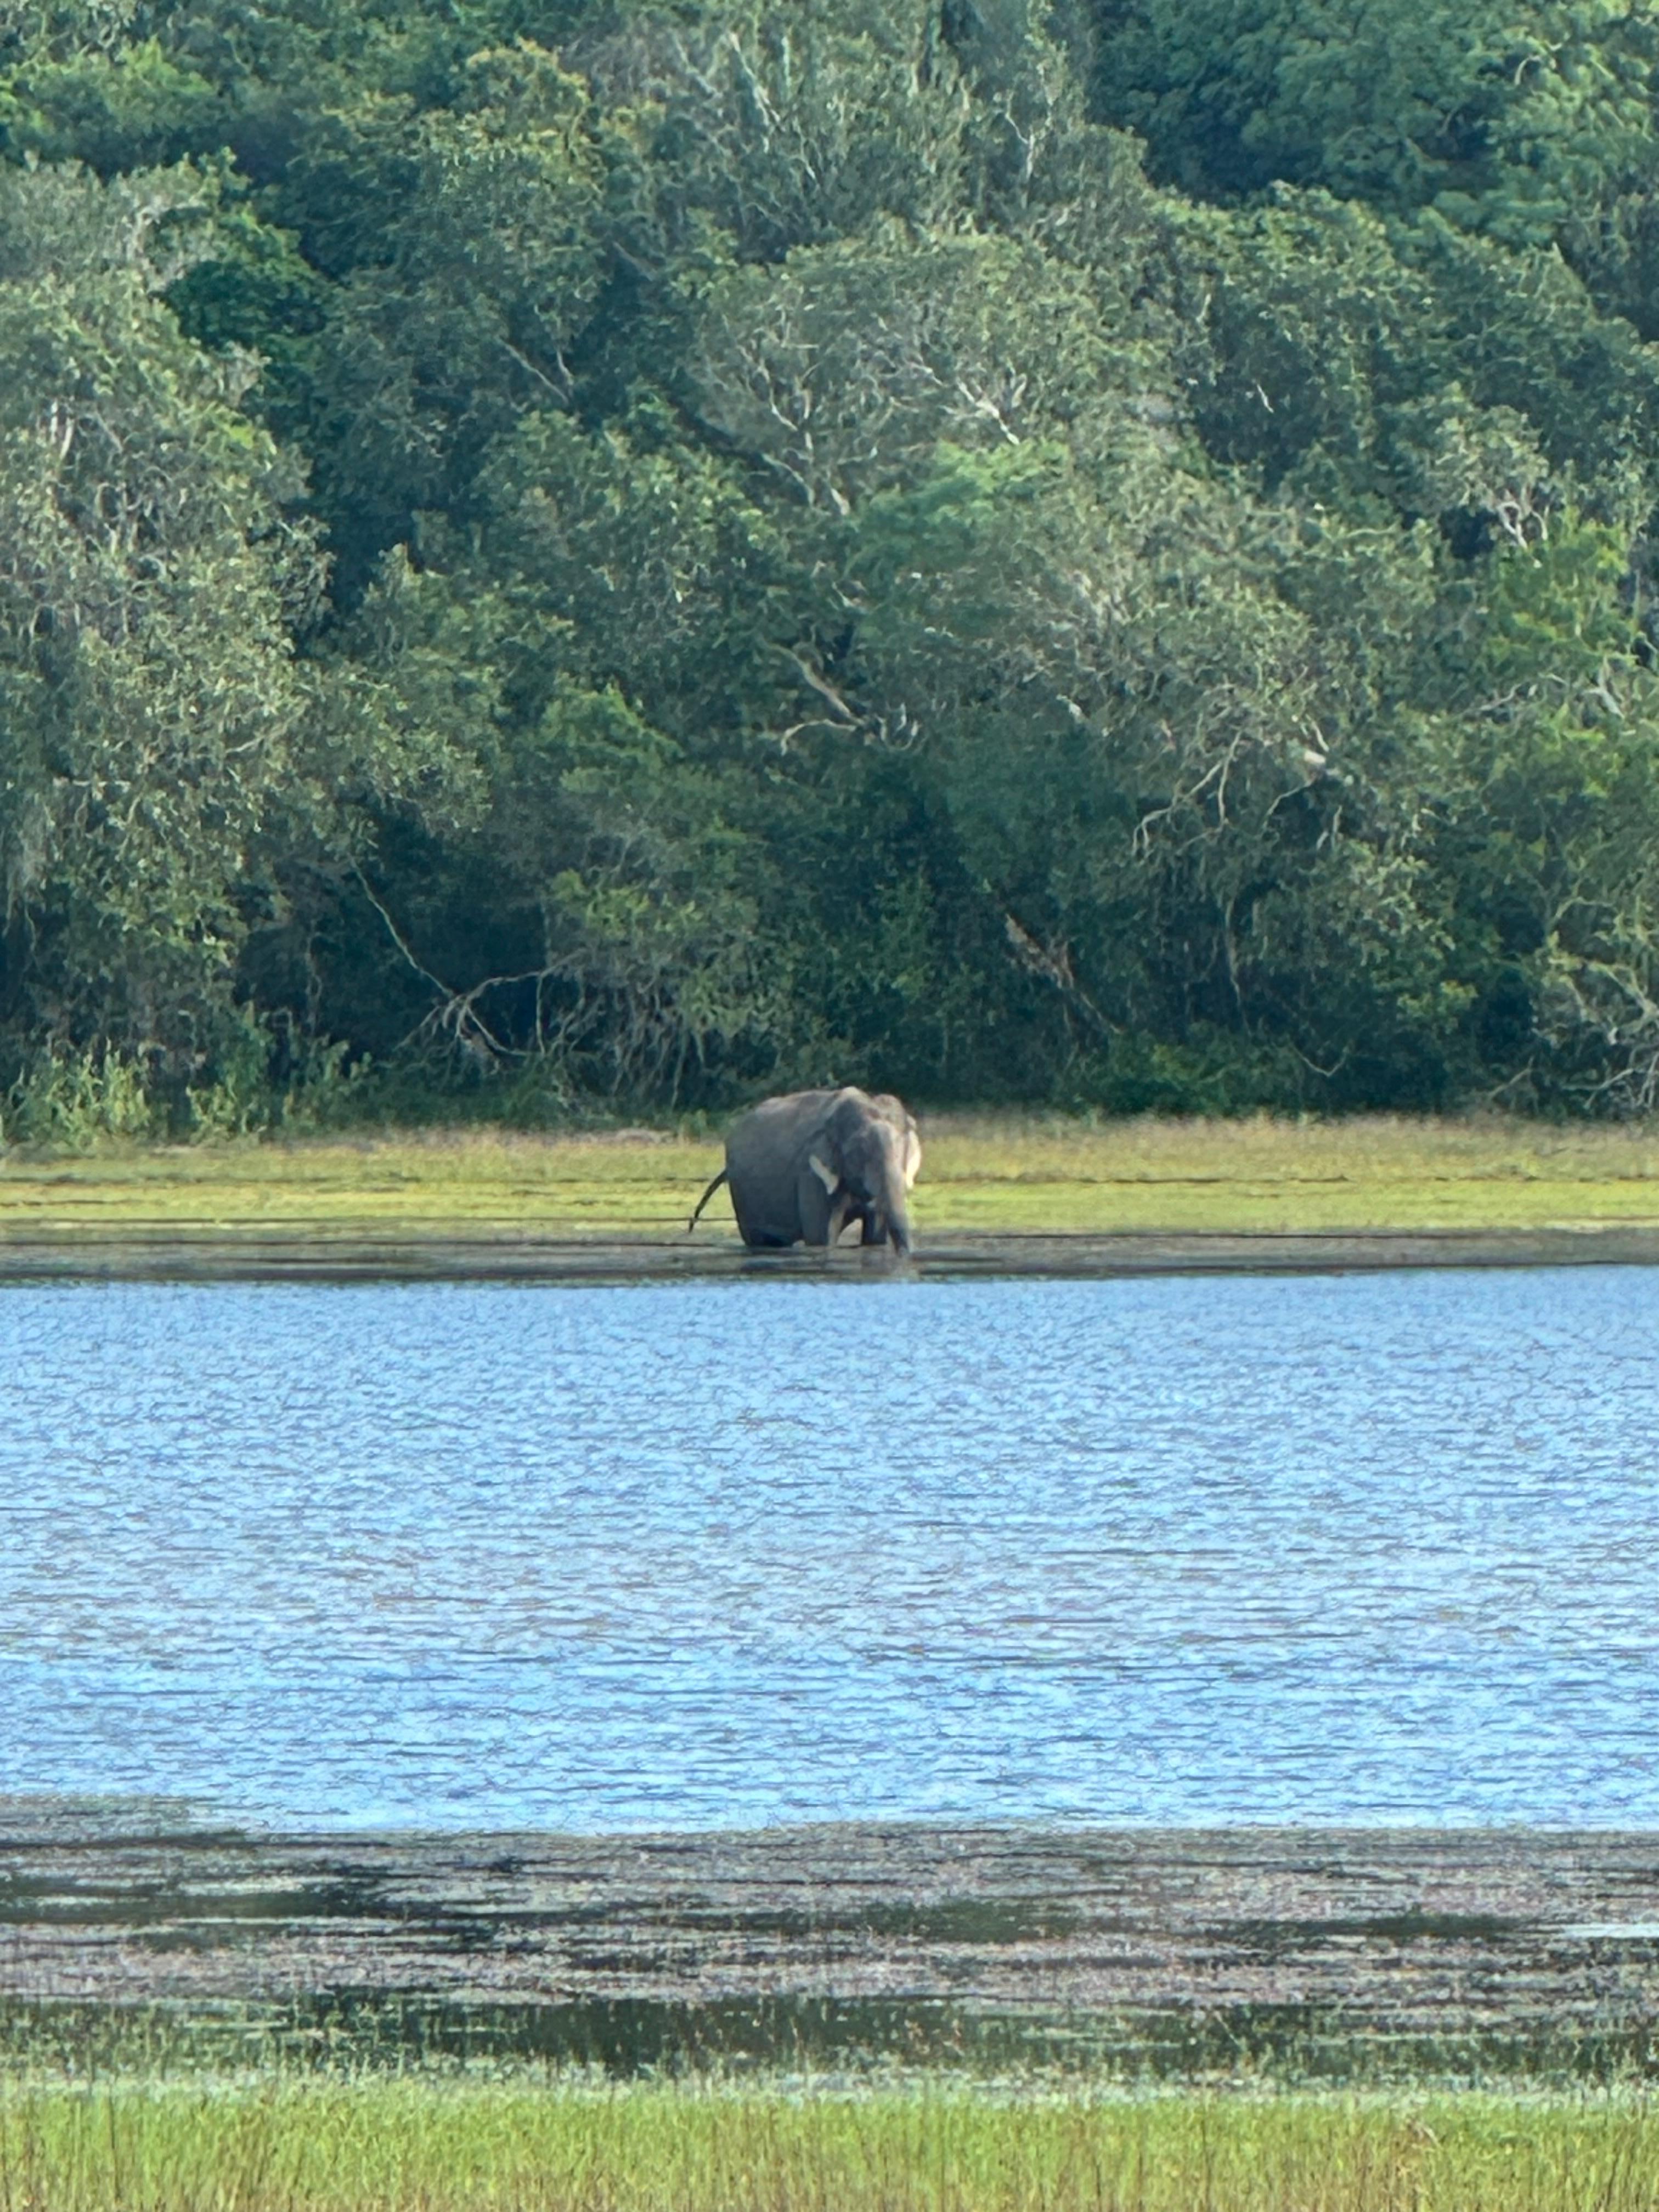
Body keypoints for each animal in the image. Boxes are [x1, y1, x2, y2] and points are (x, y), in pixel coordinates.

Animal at [690, 1084, 924, 1256]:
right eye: (857, 1154)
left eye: (904, 1150)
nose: (908, 1252)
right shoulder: (810, 1174)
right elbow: (821, 1236)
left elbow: (875, 1238)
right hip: (742, 1194)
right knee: (757, 1239)